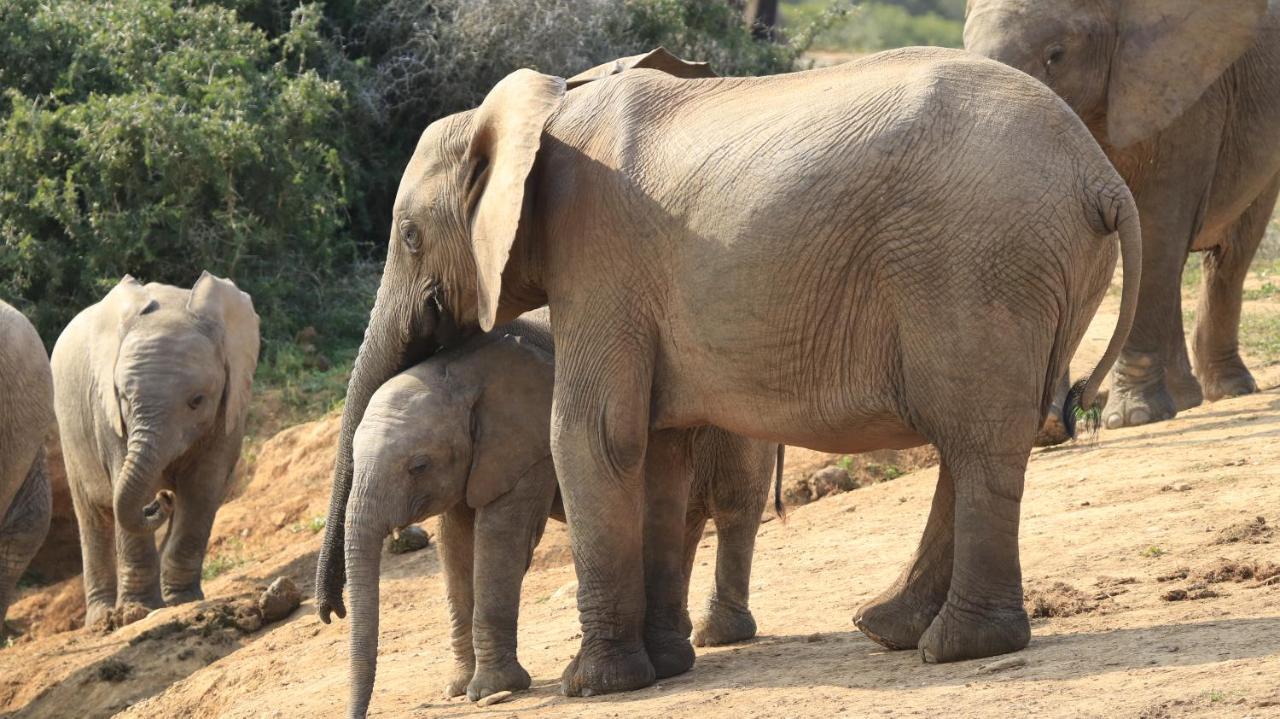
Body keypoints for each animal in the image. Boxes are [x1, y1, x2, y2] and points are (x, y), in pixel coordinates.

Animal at [52, 271, 257, 624]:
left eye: (196, 401)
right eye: (123, 397)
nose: (159, 501)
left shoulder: (229, 406)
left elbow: (202, 488)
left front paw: (181, 600)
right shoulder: (108, 417)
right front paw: (137, 612)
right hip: (69, 433)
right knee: (93, 518)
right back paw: (102, 619)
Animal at [343, 309, 778, 711]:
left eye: (418, 466)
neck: (461, 370)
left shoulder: (529, 447)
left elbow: (502, 541)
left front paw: (490, 691)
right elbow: (455, 546)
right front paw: (460, 687)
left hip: (741, 417)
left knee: (734, 510)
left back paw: (716, 634)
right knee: (682, 518)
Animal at [962, 0, 1280, 429]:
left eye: (1056, 55)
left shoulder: (1184, 97)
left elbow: (1155, 229)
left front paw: (1133, 417)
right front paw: (1048, 428)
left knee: (1229, 255)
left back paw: (1228, 391)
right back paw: (1185, 399)